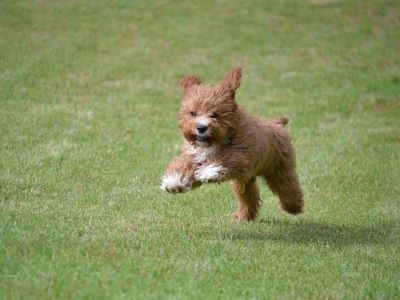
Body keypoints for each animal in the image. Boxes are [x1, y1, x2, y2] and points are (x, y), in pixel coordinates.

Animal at [159, 67, 304, 220]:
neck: (215, 141)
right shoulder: (195, 154)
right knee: (248, 195)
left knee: (288, 187)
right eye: (193, 113)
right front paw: (173, 182)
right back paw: (244, 216)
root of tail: (276, 124)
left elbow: (226, 159)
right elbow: (183, 164)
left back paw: (293, 207)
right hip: (245, 179)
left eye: (214, 114)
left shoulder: (243, 156)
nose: (201, 128)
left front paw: (208, 172)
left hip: (279, 168)